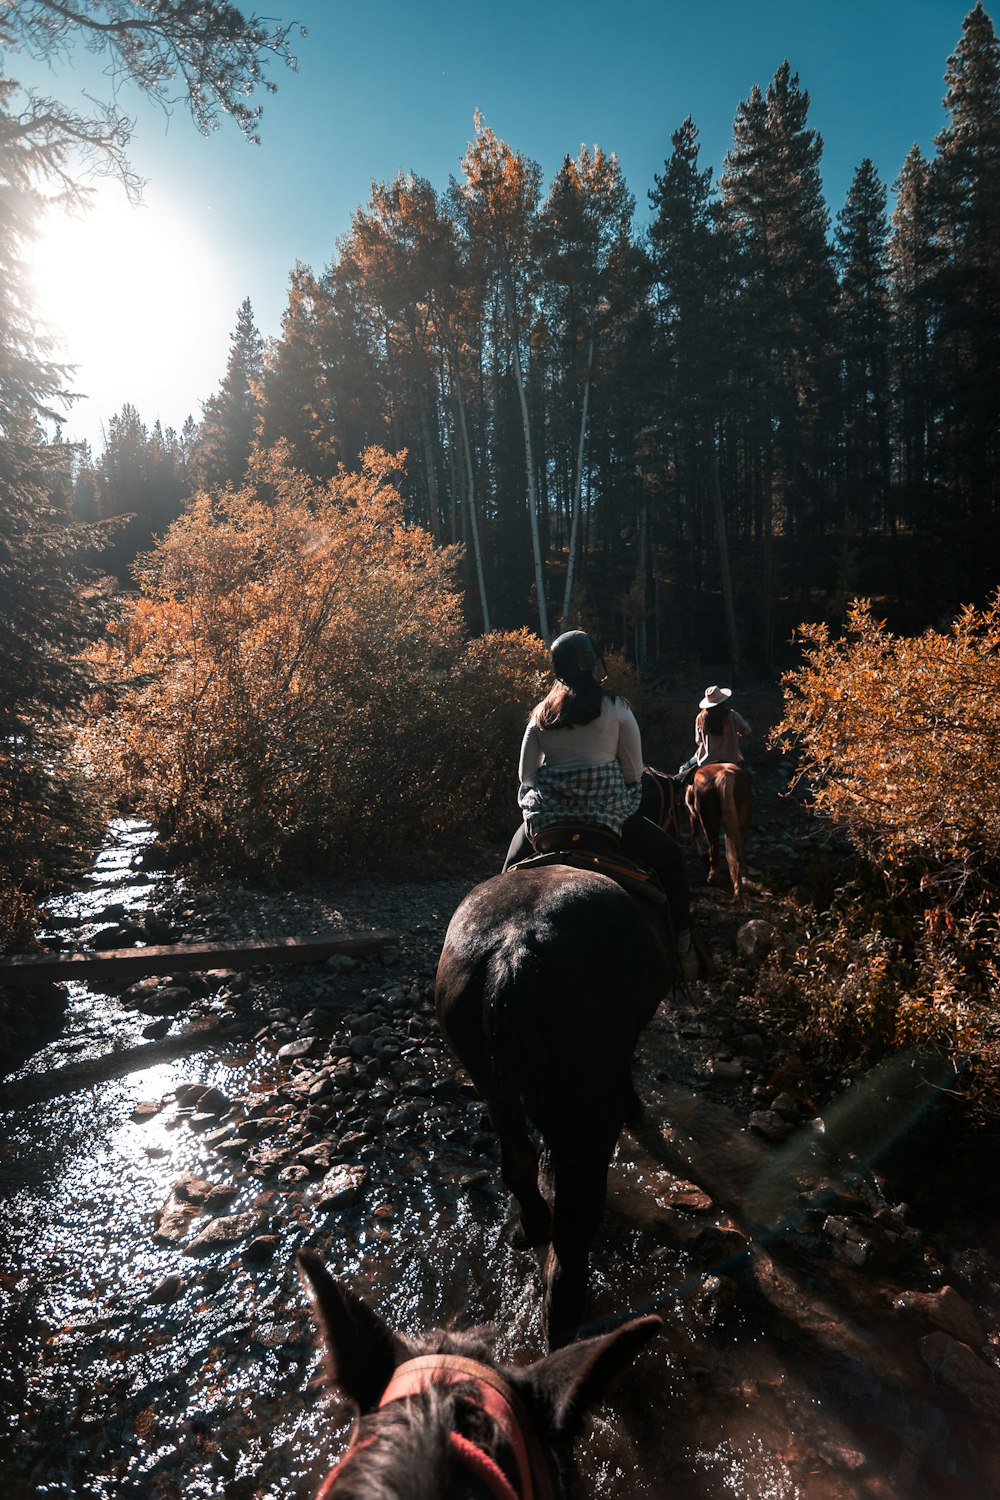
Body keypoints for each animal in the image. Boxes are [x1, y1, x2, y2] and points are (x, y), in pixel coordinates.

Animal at [434, 858, 671, 1350]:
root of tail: (515, 943)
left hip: (495, 1088)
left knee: (519, 1165)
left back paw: (528, 1229)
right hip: (588, 1114)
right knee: (573, 1234)